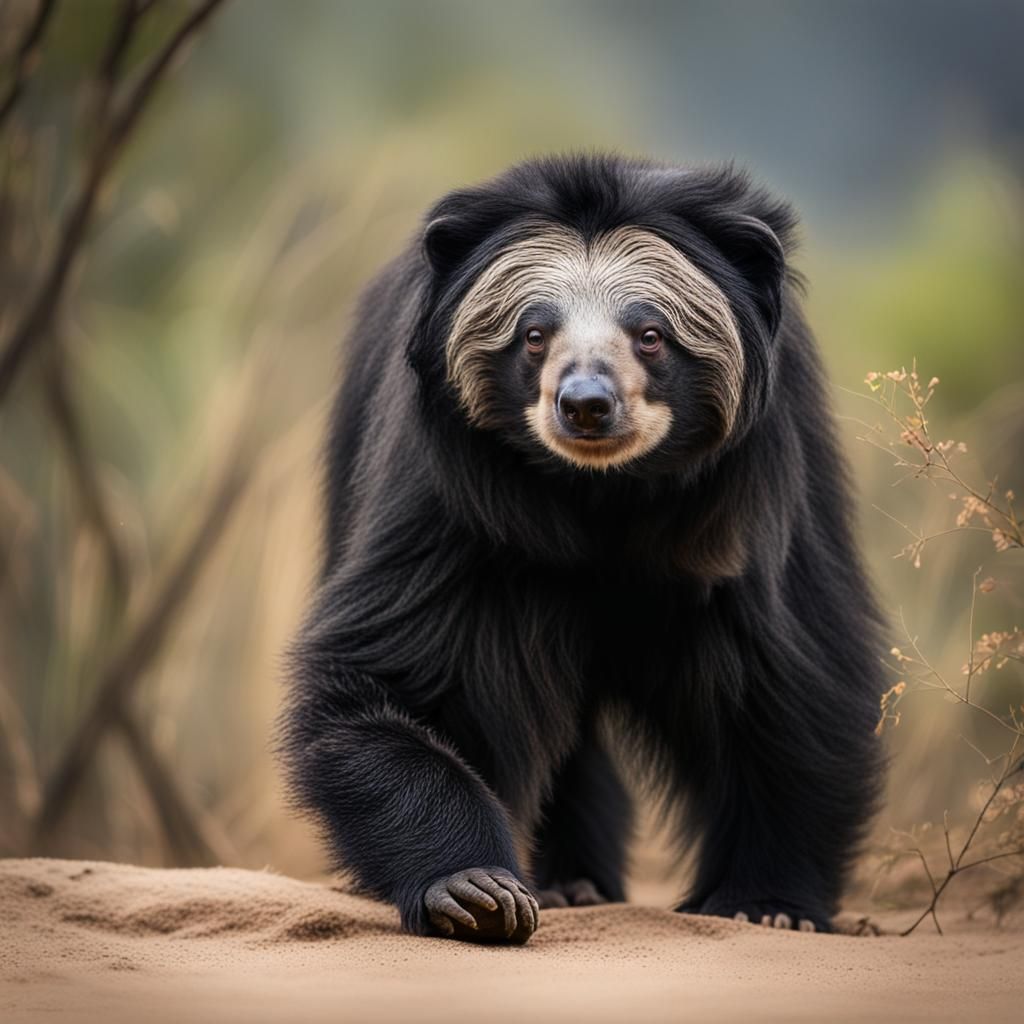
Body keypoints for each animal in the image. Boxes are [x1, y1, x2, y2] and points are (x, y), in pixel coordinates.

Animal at [279, 154, 884, 943]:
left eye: (650, 335)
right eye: (534, 334)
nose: (587, 405)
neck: (604, 493)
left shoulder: (753, 509)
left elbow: (793, 679)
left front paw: (768, 905)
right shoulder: (455, 507)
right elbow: (393, 682)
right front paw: (476, 893)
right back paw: (569, 885)